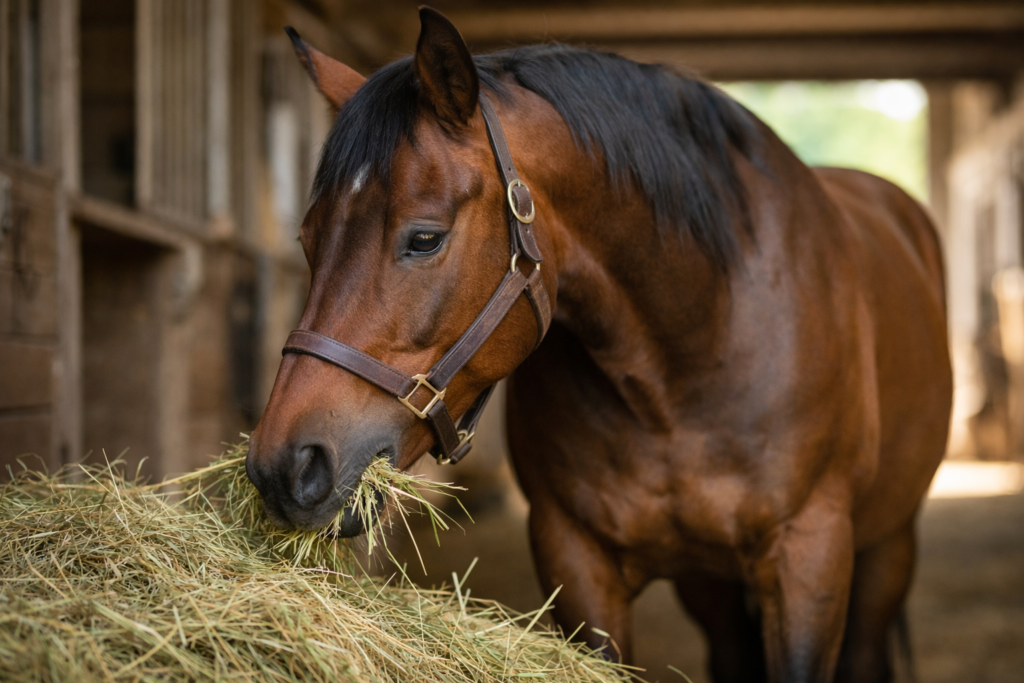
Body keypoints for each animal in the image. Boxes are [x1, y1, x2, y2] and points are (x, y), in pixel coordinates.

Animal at [246, 8, 952, 682]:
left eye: (424, 238)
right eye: (308, 239)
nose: (284, 468)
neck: (688, 360)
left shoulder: (811, 554)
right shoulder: (577, 560)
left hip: (887, 548)